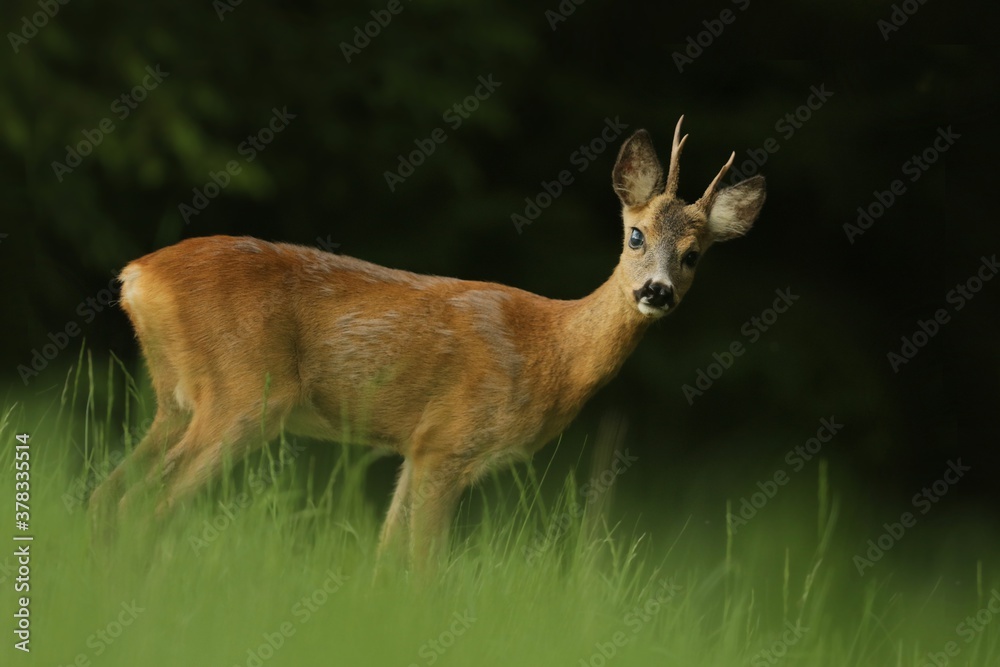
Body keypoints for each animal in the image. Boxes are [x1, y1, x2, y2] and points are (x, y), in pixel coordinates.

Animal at [92, 117, 764, 568]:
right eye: (635, 235)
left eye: (694, 256)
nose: (656, 291)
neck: (551, 352)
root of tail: (137, 276)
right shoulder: (448, 442)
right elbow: (422, 569)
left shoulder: (416, 448)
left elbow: (385, 555)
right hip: (245, 394)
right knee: (144, 502)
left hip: (176, 400)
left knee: (109, 489)